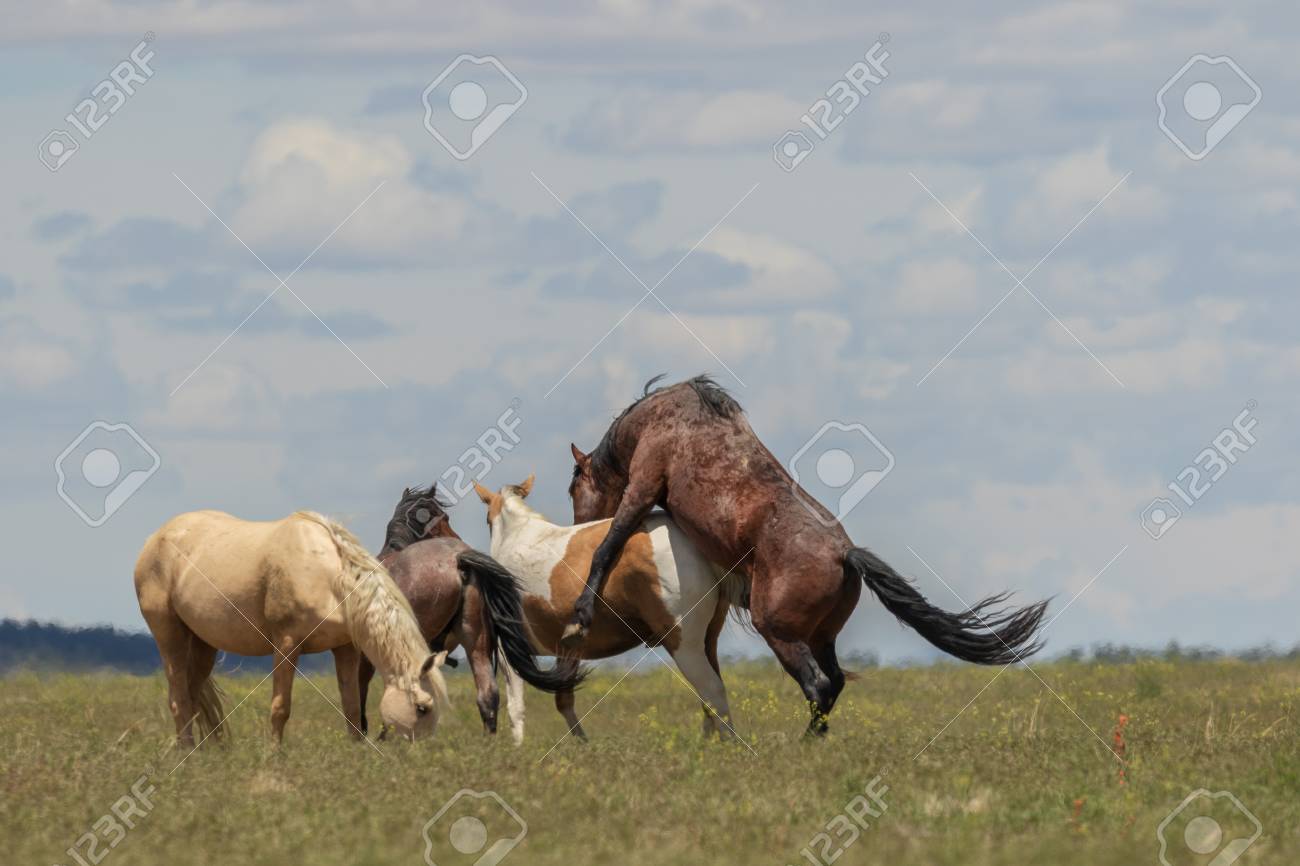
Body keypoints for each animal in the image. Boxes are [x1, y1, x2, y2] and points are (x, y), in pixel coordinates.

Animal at [134, 509, 448, 745]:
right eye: (422, 708)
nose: (418, 755)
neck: (328, 577)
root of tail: (154, 539)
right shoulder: (286, 645)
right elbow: (280, 708)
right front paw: (275, 757)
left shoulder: (345, 648)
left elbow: (351, 706)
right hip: (169, 635)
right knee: (179, 699)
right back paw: (188, 754)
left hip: (203, 644)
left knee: (193, 695)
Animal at [474, 475, 743, 739]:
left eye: (487, 519)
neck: (517, 537)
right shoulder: (566, 651)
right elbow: (563, 699)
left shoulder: (509, 649)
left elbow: (515, 705)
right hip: (707, 639)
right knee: (709, 697)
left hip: (684, 644)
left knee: (712, 691)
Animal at [565, 375, 1049, 735]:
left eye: (574, 488)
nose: (576, 528)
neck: (664, 416)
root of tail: (847, 556)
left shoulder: (643, 487)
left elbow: (609, 547)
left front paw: (582, 611)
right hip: (820, 636)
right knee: (833, 682)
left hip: (779, 631)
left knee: (818, 685)